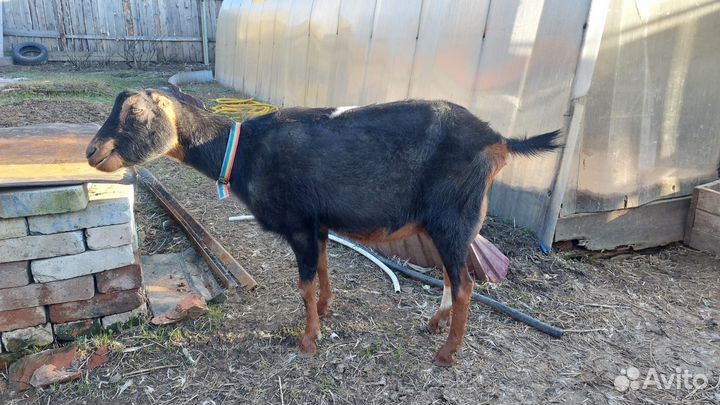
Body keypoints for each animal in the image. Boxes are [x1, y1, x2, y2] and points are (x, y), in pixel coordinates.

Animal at [86, 89, 560, 366]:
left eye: (135, 111)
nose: (92, 151)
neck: (244, 150)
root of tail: (498, 140)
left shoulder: (299, 224)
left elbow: (305, 284)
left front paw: (308, 340)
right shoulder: (319, 224)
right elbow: (325, 269)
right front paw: (328, 310)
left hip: (453, 218)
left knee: (465, 284)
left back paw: (446, 352)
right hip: (444, 224)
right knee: (451, 275)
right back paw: (434, 325)